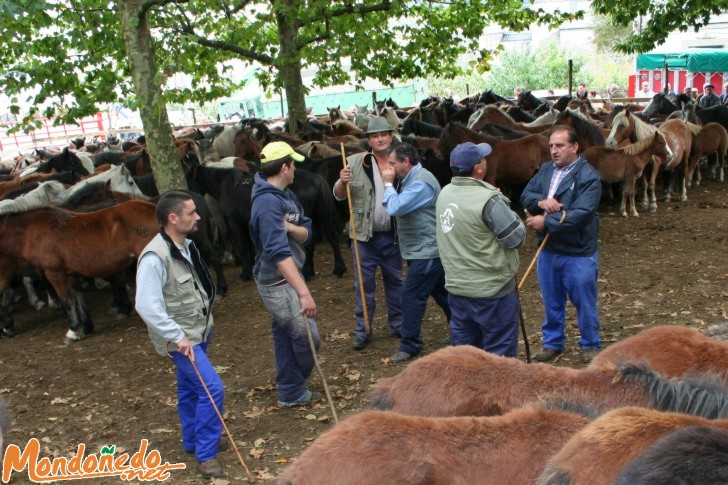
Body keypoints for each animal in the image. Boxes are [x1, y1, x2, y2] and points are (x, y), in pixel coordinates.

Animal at [0, 199, 159, 342]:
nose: (6, 330)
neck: (32, 231)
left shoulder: (54, 272)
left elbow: (67, 300)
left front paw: (73, 331)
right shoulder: (70, 273)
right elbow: (78, 297)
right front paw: (86, 327)